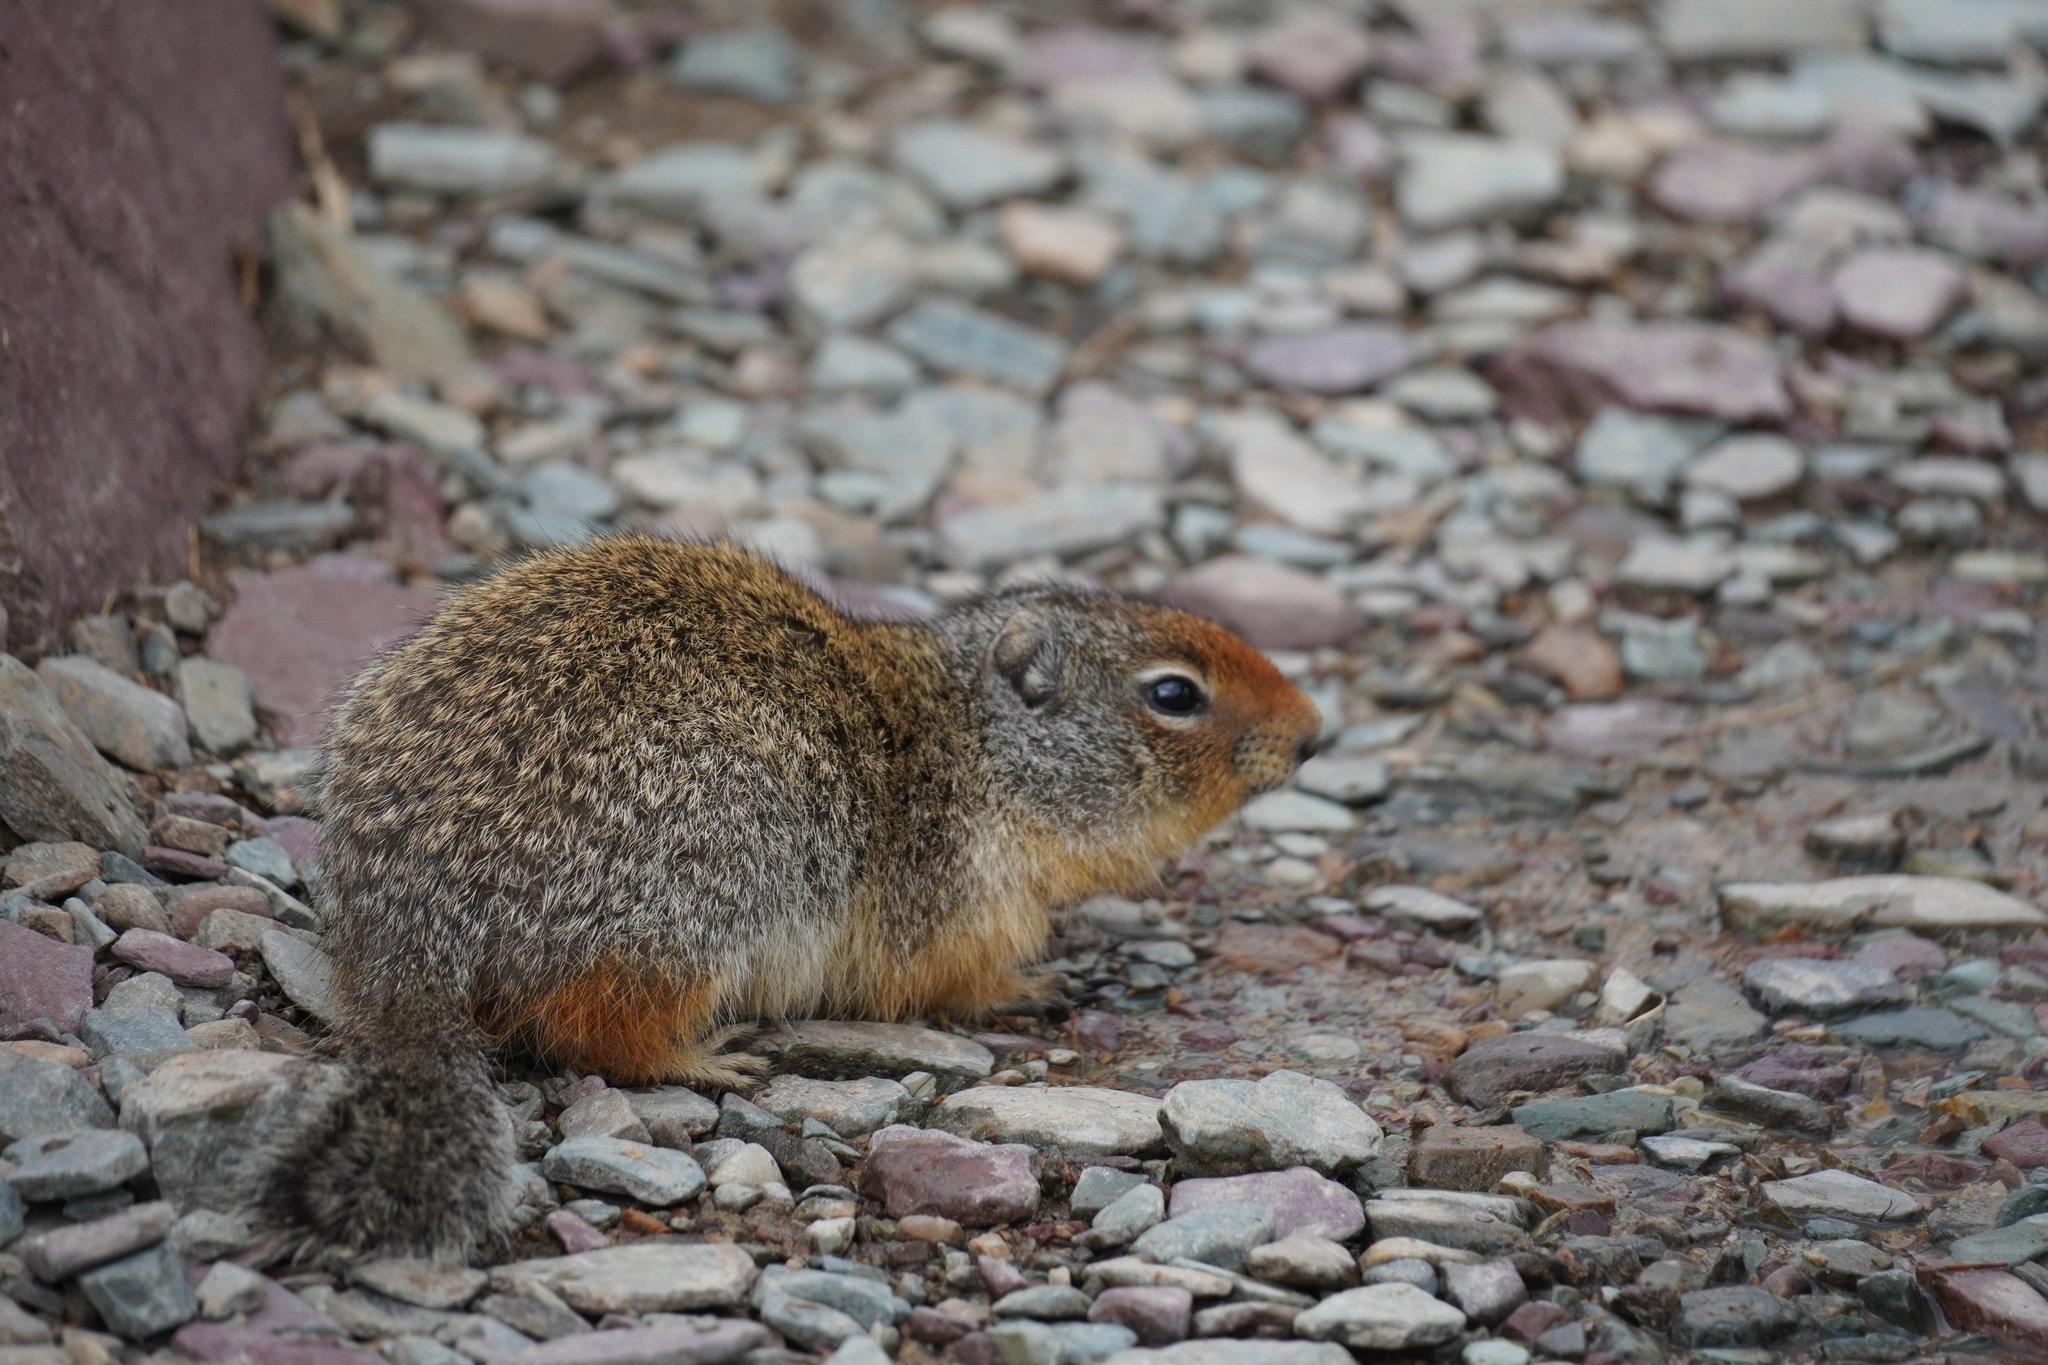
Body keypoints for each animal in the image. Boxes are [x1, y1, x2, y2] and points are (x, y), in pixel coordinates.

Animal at [252, 535, 1323, 1261]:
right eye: (1174, 693)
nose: (1317, 730)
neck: (975, 746)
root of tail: (406, 932)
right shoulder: (958, 897)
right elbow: (951, 980)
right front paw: (1029, 987)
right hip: (700, 902)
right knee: (601, 1030)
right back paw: (709, 1057)